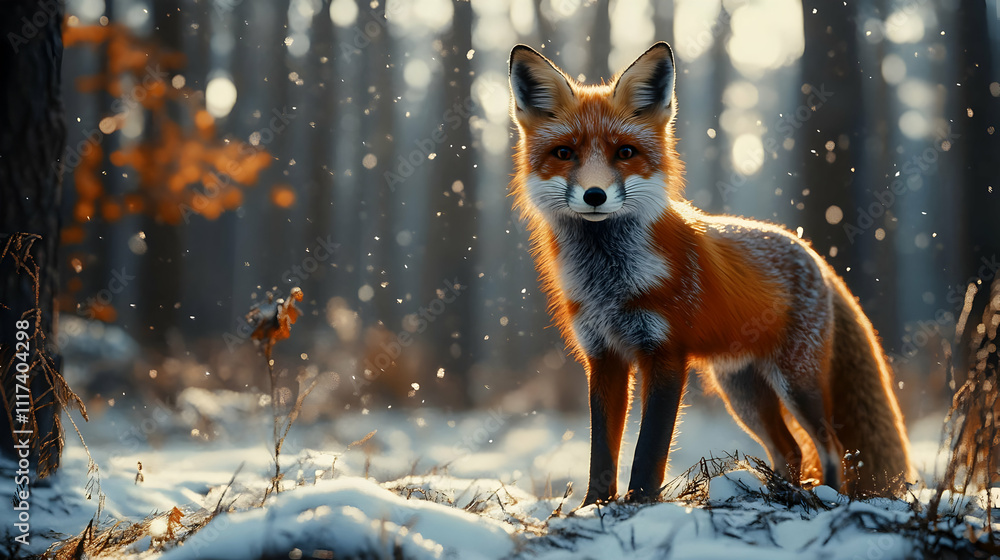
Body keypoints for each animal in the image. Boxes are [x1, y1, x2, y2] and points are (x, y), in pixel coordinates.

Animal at [507, 42, 912, 505]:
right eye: (564, 153)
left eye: (624, 152)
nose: (595, 195)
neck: (609, 283)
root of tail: (812, 254)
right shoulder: (603, 357)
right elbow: (601, 452)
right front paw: (594, 507)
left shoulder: (665, 354)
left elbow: (649, 449)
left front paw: (640, 504)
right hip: (742, 391)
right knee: (789, 449)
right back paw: (779, 493)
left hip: (796, 382)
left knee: (832, 446)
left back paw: (825, 497)